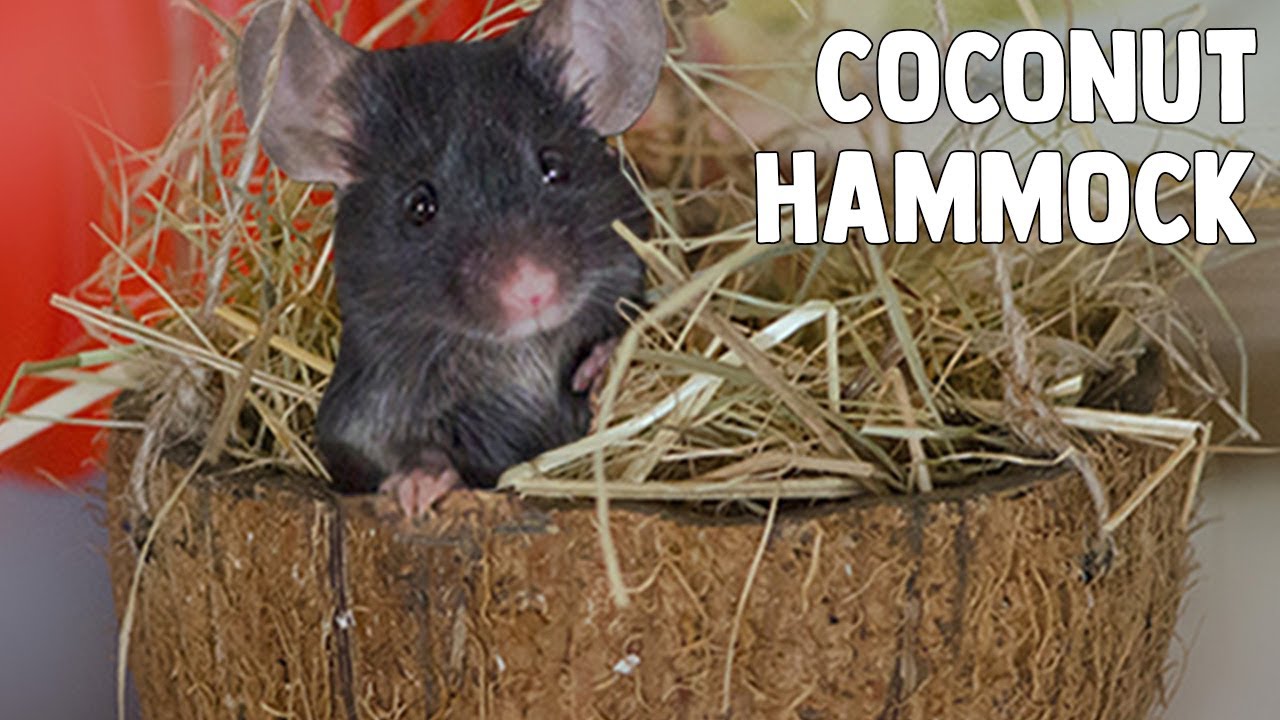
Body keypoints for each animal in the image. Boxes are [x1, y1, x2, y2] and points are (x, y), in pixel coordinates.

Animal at [236, 0, 666, 517]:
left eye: (555, 168)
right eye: (420, 206)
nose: (532, 290)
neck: (515, 352)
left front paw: (600, 366)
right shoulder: (364, 414)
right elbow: (395, 451)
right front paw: (418, 487)